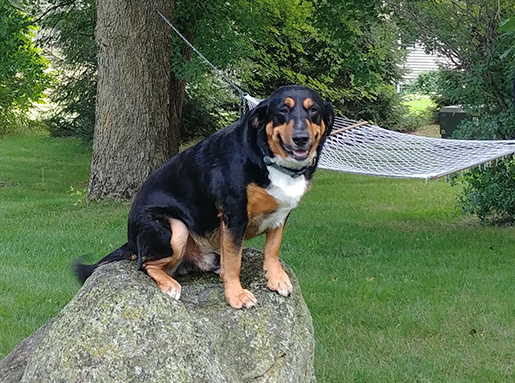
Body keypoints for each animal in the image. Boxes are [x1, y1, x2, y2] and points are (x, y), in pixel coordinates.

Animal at [75, 86, 334, 308]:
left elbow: (272, 248)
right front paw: (236, 295)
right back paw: (169, 284)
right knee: (146, 264)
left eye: (313, 110)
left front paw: (276, 278)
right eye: (283, 110)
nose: (301, 138)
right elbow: (234, 262)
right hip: (176, 228)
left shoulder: (281, 214)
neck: (268, 159)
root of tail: (131, 241)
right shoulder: (234, 215)